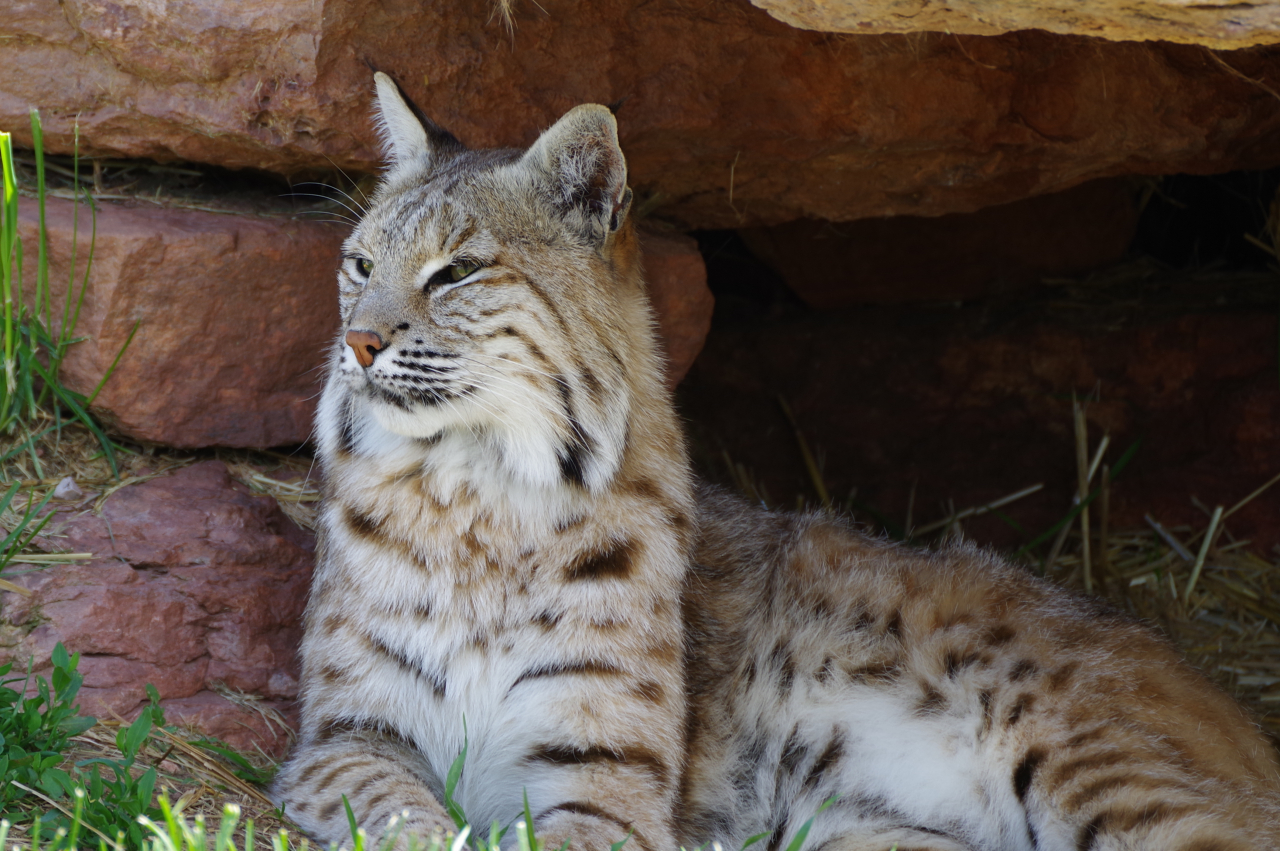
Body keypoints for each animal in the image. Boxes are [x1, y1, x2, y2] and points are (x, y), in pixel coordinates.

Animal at [271, 72, 1280, 851]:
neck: (474, 485)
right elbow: (408, 819)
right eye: (359, 265)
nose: (357, 344)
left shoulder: (605, 776)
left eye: (458, 272)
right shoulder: (344, 739)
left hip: (1098, 772)